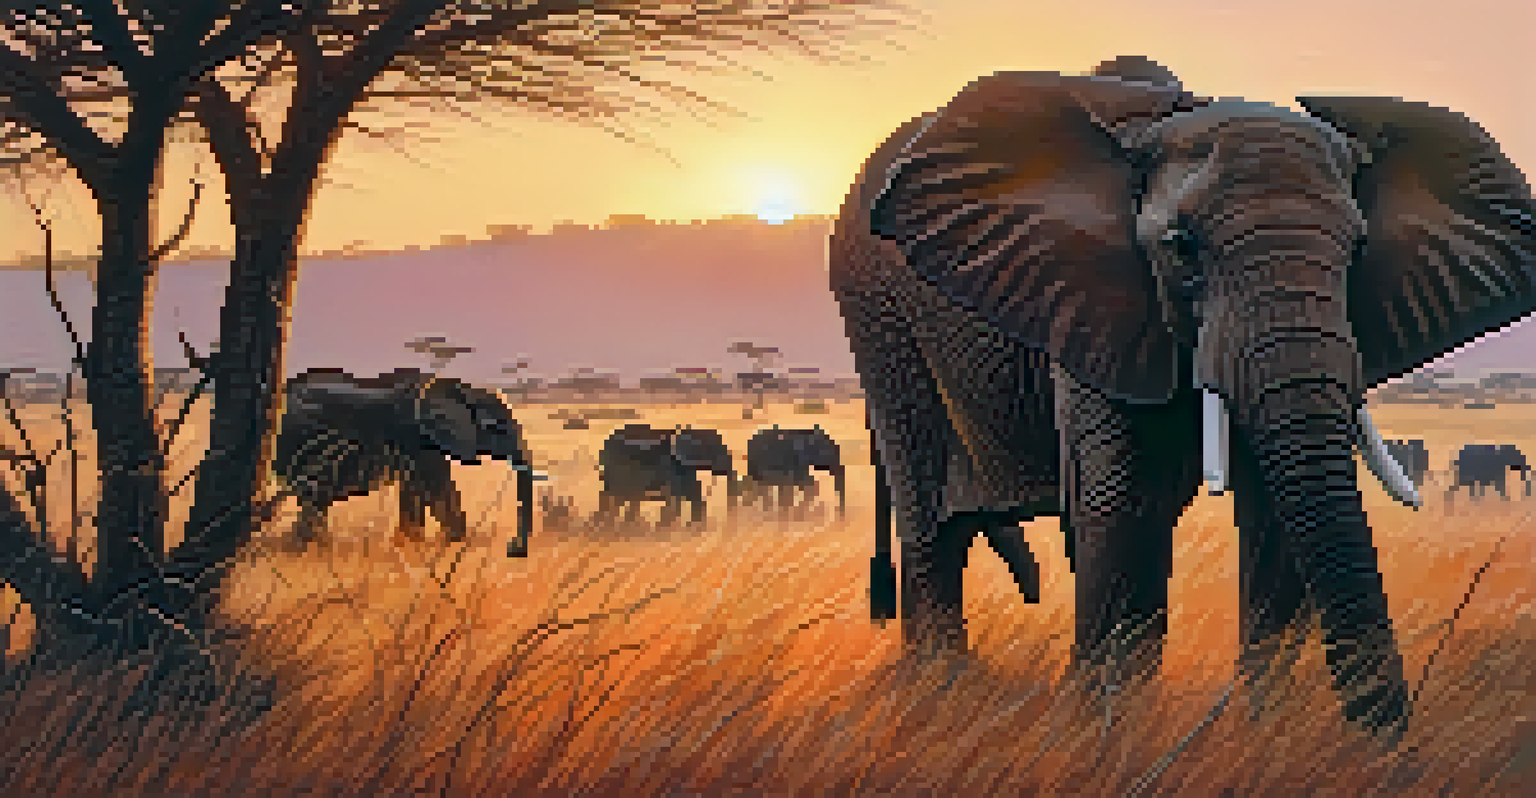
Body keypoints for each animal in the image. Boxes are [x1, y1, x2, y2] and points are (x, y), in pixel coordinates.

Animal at [275, 368, 536, 556]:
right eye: (495, 427)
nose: (512, 547)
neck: (462, 387)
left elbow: (416, 487)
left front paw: (410, 544)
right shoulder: (417, 436)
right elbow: (437, 488)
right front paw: (449, 542)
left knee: (315, 500)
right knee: (314, 497)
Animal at [593, 424, 737, 528]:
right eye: (717, 450)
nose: (731, 516)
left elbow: (693, 493)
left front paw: (692, 528)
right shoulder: (672, 466)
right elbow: (677, 497)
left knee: (616, 497)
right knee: (616, 496)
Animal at [829, 53, 1536, 739]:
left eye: (1358, 250)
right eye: (1182, 249)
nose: (1387, 751)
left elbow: (1273, 516)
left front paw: (1262, 742)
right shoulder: (1092, 307)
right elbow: (1124, 509)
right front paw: (1100, 740)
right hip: (879, 323)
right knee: (932, 526)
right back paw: (937, 697)